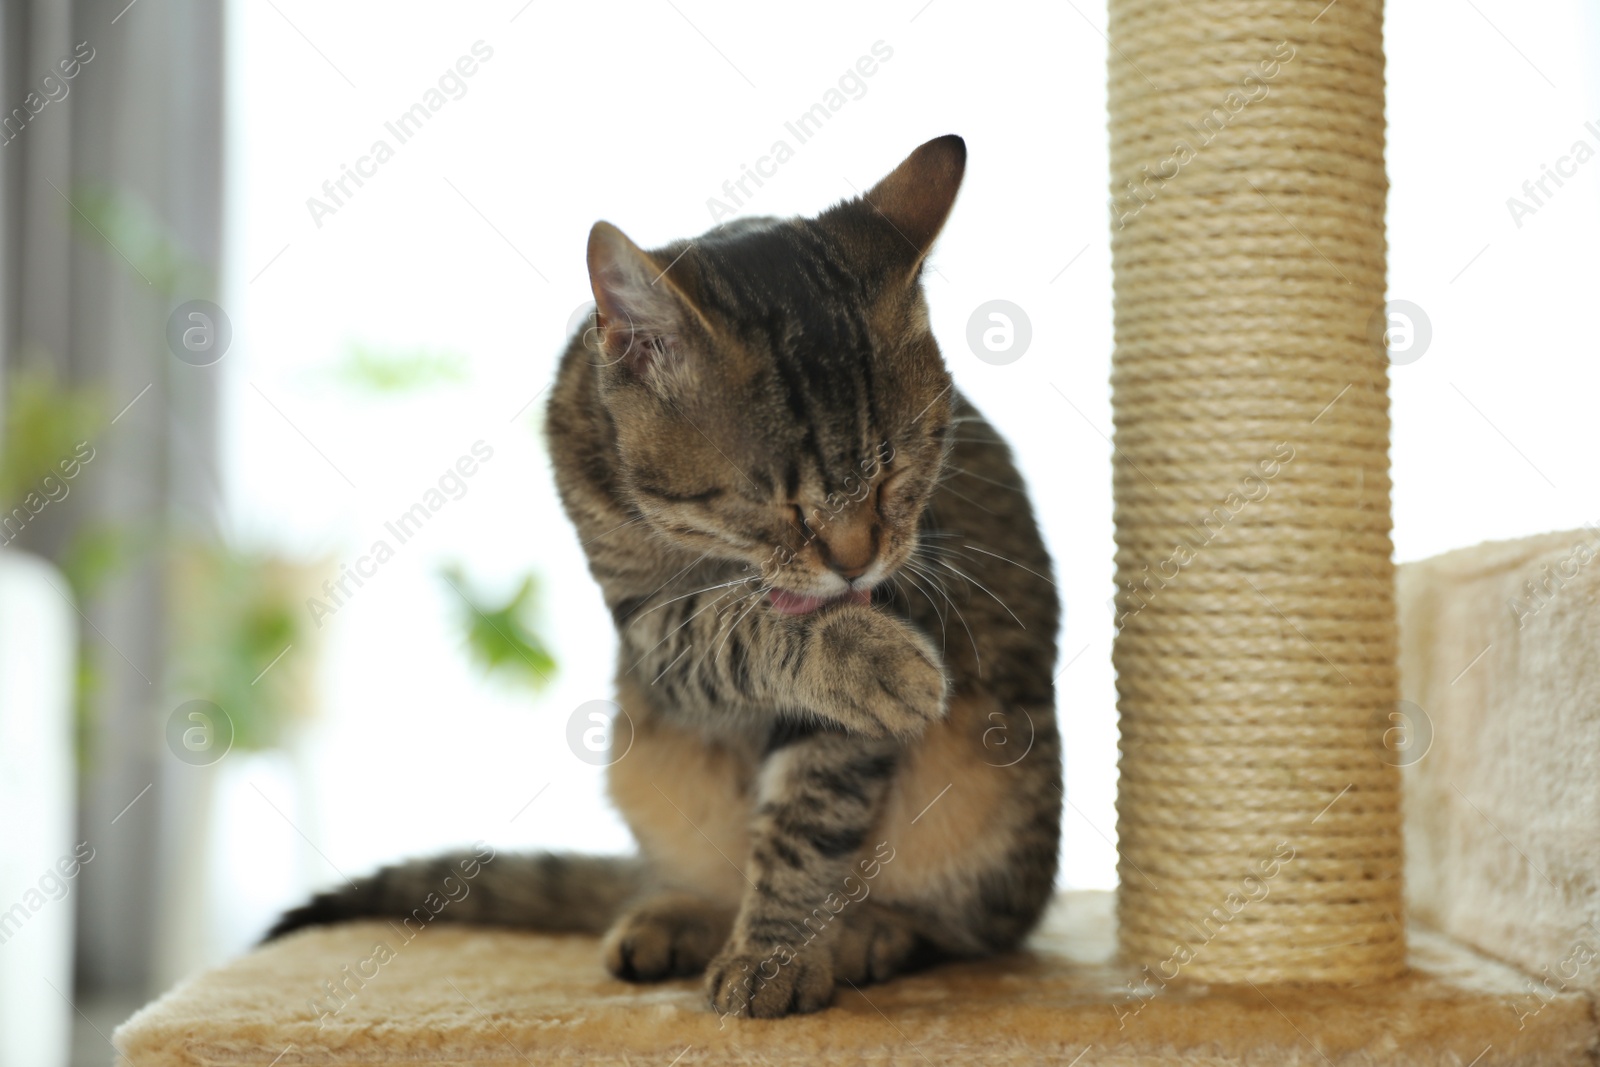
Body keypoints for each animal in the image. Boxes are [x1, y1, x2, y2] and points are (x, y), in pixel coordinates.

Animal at [265, 137, 1062, 1023]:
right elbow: (736, 627)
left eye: (900, 474)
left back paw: (869, 930)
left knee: (966, 925)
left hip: (995, 807)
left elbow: (807, 815)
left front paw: (774, 953)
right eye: (777, 503)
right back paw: (674, 916)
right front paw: (867, 656)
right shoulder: (648, 623)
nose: (856, 561)